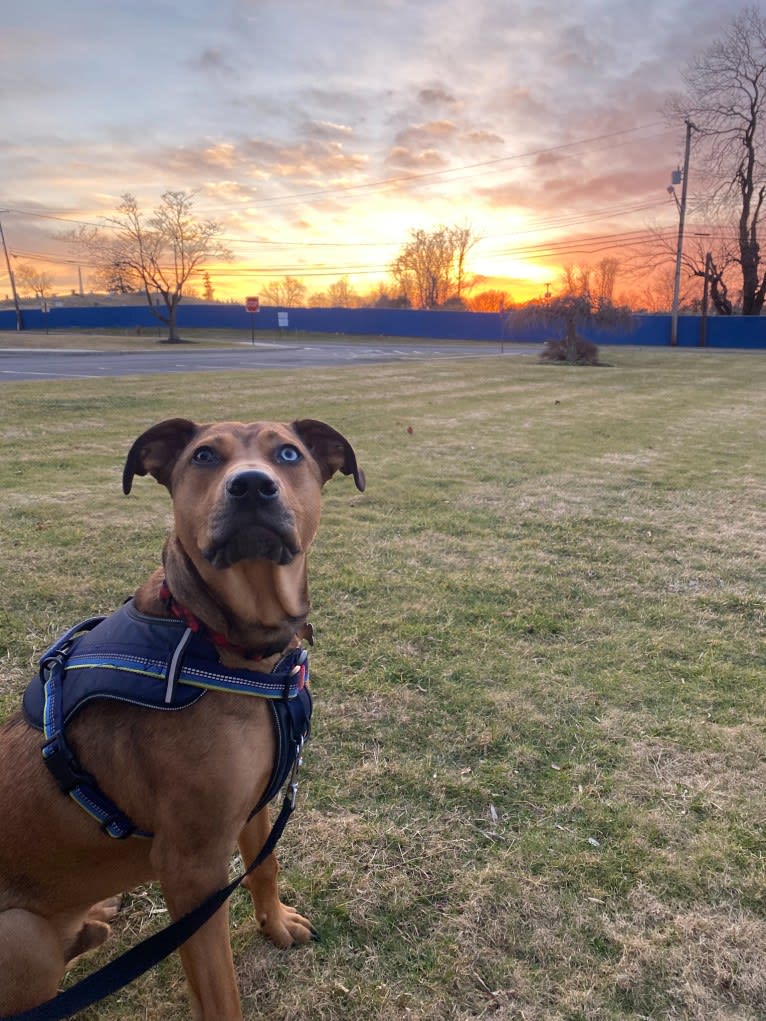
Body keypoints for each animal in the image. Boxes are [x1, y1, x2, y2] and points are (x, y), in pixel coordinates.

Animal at [0, 416, 363, 1021]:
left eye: (289, 454)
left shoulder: (250, 802)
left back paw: (94, 922)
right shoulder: (191, 869)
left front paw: (275, 923)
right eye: (204, 456)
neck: (224, 643)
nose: (251, 487)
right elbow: (219, 992)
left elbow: (265, 865)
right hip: (20, 933)